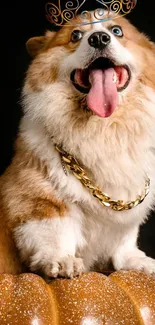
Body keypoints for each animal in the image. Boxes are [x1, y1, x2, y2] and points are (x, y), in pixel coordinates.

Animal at [0, 11, 155, 278]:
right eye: (75, 35)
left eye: (117, 31)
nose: (99, 38)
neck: (104, 128)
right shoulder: (38, 196)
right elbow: (53, 229)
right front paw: (61, 260)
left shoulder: (128, 203)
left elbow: (125, 235)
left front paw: (136, 260)